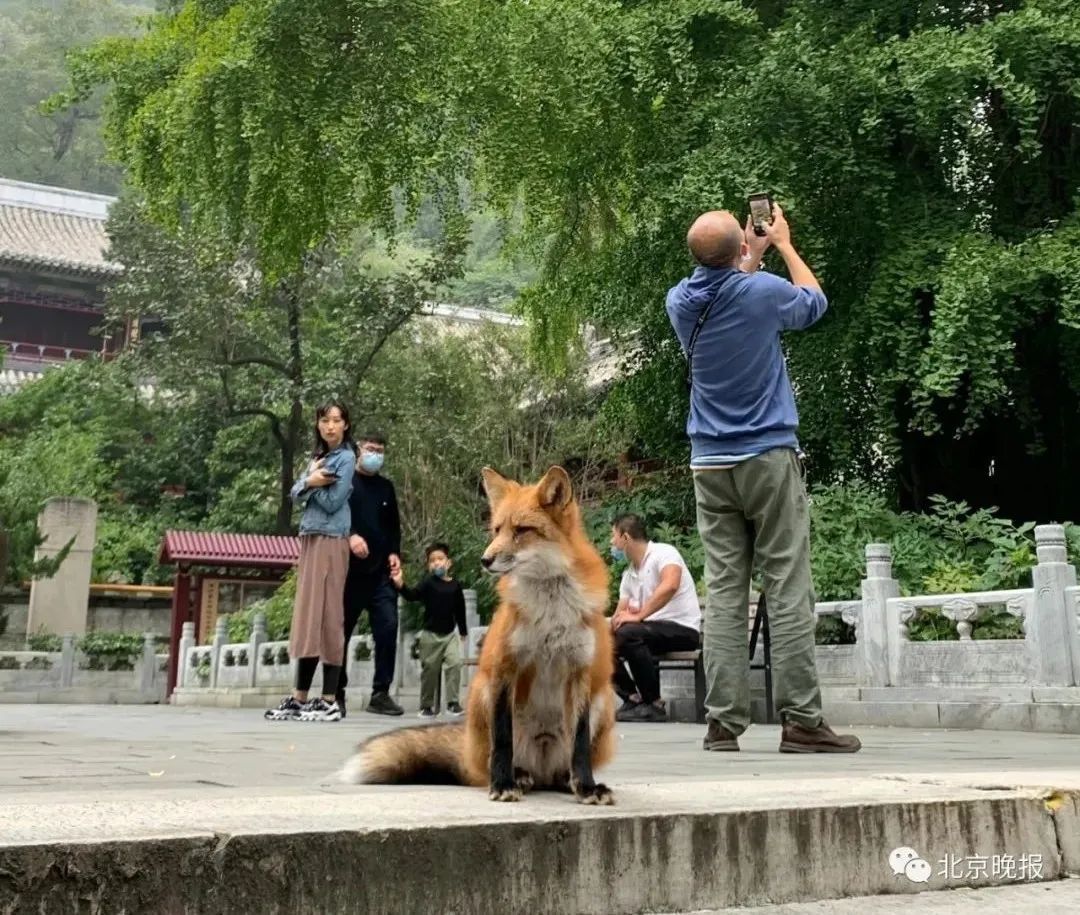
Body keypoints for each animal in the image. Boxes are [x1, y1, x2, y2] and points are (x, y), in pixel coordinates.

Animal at [345, 468, 617, 803]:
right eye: (497, 529)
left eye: (522, 530)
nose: (485, 560)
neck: (550, 609)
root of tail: (542, 770)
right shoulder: (504, 668)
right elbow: (502, 739)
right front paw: (502, 784)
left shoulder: (581, 673)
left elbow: (579, 745)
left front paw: (587, 786)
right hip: (482, 691)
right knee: (493, 761)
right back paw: (516, 776)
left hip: (602, 699)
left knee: (561, 770)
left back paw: (568, 781)